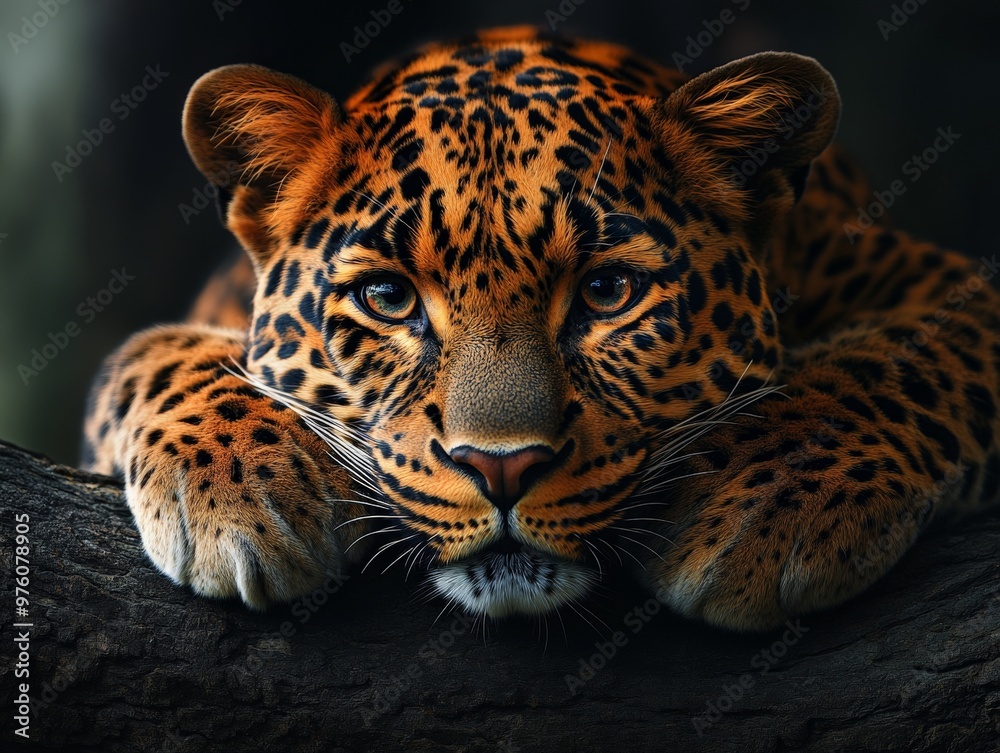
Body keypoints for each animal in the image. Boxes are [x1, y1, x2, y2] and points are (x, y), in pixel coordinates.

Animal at [82, 26, 1000, 631]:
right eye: (388, 297)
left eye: (607, 290)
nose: (503, 467)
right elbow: (149, 351)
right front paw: (235, 492)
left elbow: (908, 353)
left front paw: (769, 498)